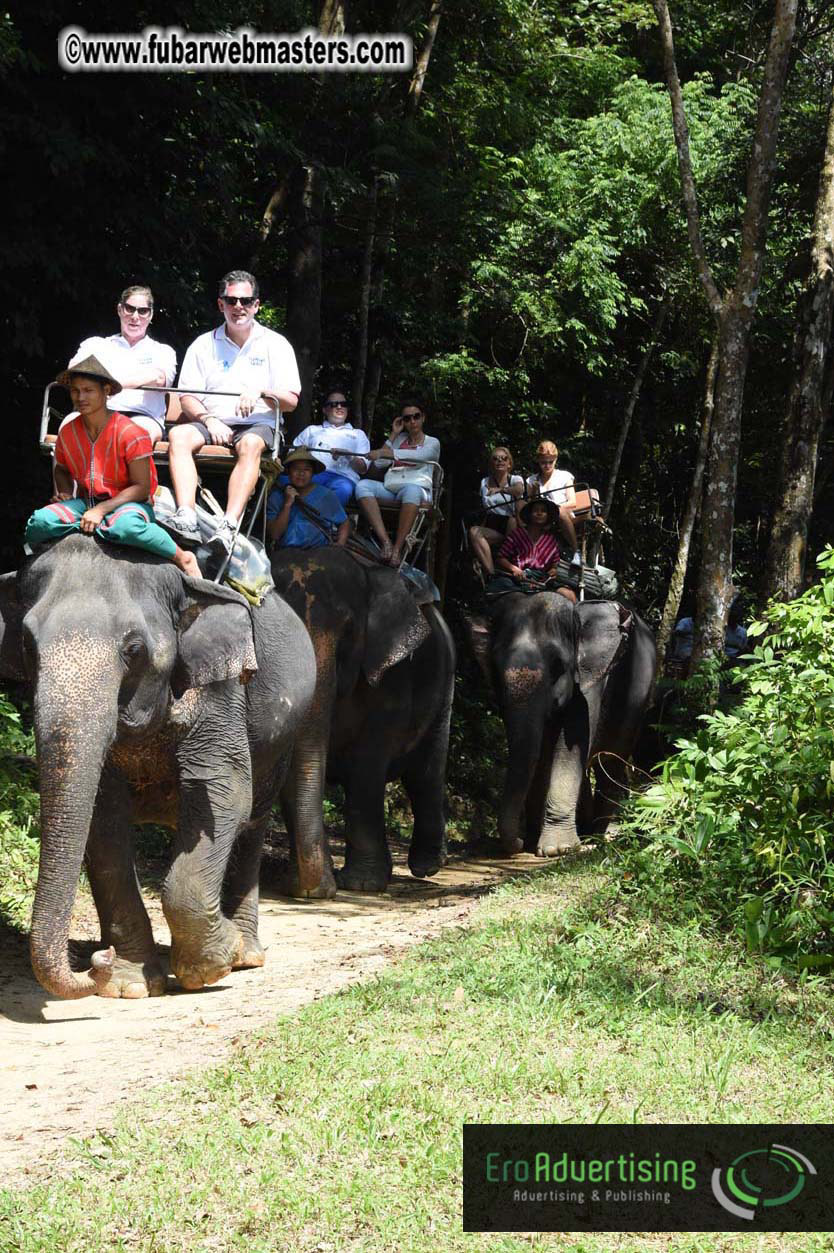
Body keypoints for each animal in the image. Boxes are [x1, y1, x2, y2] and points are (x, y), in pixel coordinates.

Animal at [0, 535, 316, 999]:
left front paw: (211, 964)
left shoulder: (222, 692)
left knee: (253, 820)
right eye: (26, 645)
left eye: (133, 650)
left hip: (282, 738)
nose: (96, 961)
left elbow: (224, 793)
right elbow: (103, 817)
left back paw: (246, 954)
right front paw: (128, 984)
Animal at [270, 547, 455, 894]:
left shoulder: (393, 677)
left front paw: (361, 885)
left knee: (425, 772)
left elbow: (367, 764)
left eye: (348, 632)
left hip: (446, 678)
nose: (320, 891)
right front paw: (303, 885)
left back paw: (427, 867)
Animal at [471, 592, 656, 857]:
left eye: (557, 665)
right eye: (495, 664)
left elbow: (569, 750)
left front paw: (557, 849)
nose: (517, 843)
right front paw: (533, 842)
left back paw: (596, 835)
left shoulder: (589, 684)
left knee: (610, 763)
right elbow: (539, 753)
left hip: (638, 702)